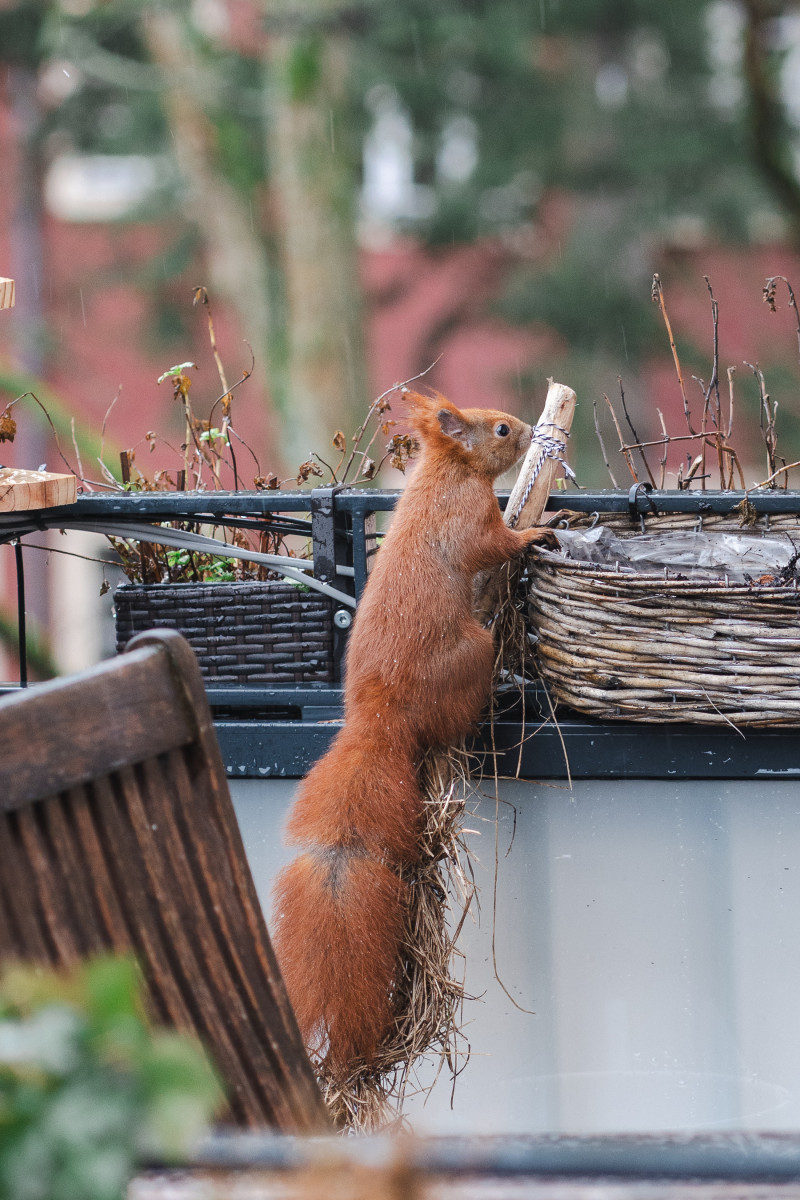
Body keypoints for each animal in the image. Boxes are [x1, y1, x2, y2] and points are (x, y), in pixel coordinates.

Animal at [272, 391, 554, 1080]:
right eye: (501, 430)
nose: (530, 431)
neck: (447, 474)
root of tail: (380, 721)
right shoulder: (473, 523)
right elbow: (498, 543)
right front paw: (538, 530)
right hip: (470, 654)